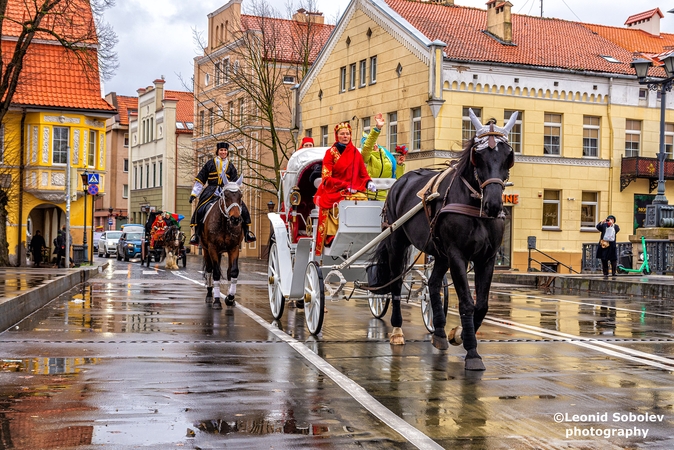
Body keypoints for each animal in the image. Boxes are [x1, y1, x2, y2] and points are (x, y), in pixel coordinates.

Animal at [200, 178, 244, 310]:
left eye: (240, 196)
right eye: (226, 195)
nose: (235, 219)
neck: (224, 224)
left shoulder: (234, 248)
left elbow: (232, 271)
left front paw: (230, 298)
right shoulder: (212, 248)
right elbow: (216, 273)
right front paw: (217, 301)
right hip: (206, 250)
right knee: (210, 270)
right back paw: (210, 295)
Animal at [370, 109, 516, 370]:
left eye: (508, 155)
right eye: (478, 155)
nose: (493, 204)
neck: (474, 207)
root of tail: (399, 182)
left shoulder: (487, 258)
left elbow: (482, 304)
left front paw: (458, 335)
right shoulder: (458, 255)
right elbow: (467, 302)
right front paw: (472, 352)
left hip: (439, 253)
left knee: (433, 284)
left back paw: (438, 332)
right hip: (398, 241)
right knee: (396, 283)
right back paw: (397, 330)